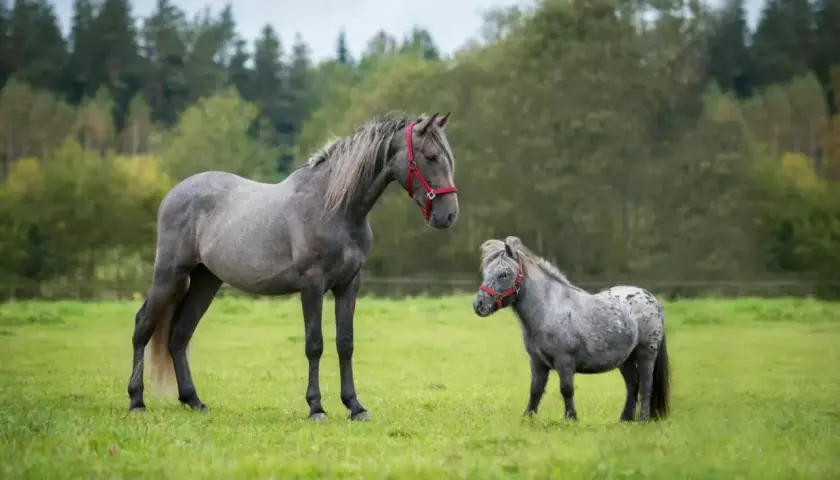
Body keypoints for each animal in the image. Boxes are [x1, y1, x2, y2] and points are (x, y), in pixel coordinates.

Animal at [127, 112, 460, 421]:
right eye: (430, 156)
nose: (448, 215)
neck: (333, 206)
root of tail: (174, 193)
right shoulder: (311, 284)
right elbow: (315, 344)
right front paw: (316, 407)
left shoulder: (349, 284)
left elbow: (345, 343)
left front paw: (355, 406)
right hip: (170, 274)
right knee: (143, 326)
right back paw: (136, 401)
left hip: (206, 280)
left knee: (180, 334)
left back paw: (193, 400)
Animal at [472, 236, 670, 422]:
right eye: (487, 272)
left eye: (504, 274)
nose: (478, 305)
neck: (549, 309)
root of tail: (653, 299)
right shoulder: (537, 362)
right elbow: (535, 390)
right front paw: (528, 417)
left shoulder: (564, 361)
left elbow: (566, 389)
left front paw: (571, 418)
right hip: (625, 360)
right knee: (633, 385)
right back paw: (625, 420)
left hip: (646, 354)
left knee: (646, 386)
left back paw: (642, 420)